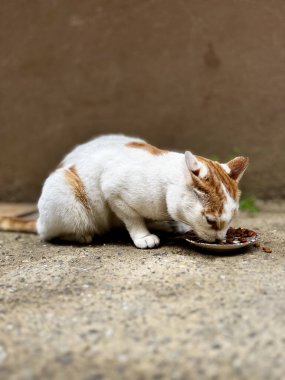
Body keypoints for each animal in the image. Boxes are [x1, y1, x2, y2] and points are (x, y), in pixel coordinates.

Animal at [0, 135, 247, 248]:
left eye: (230, 220)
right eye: (211, 221)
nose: (220, 239)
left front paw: (176, 225)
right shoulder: (113, 192)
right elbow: (133, 219)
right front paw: (143, 236)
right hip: (66, 196)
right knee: (49, 233)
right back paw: (82, 235)